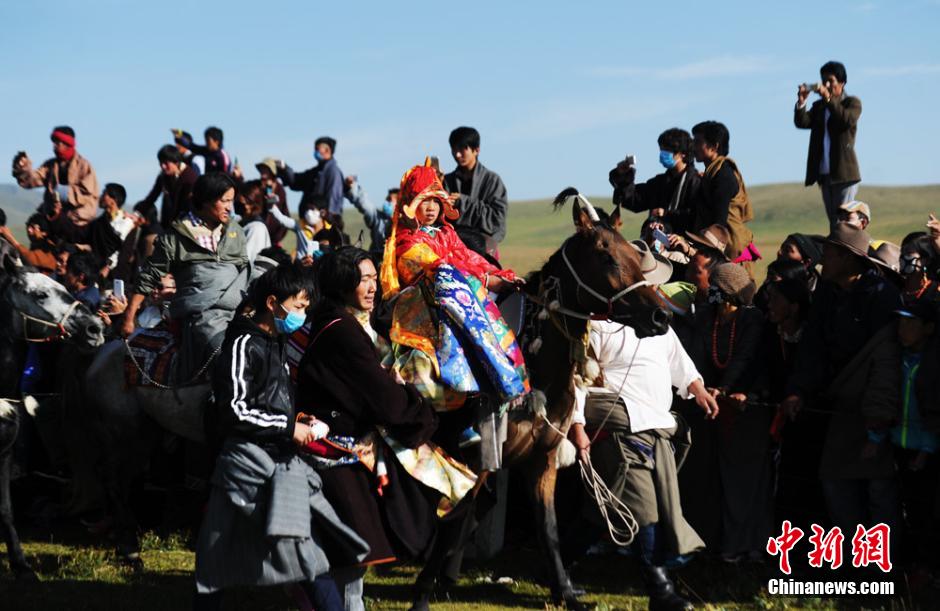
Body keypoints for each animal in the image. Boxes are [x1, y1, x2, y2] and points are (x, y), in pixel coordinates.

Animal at [412, 191, 668, 611]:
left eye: (634, 254)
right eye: (608, 258)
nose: (661, 316)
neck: (535, 365)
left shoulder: (542, 458)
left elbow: (547, 527)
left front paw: (565, 591)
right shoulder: (474, 458)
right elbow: (453, 520)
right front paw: (421, 594)